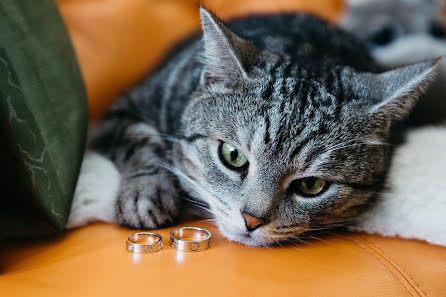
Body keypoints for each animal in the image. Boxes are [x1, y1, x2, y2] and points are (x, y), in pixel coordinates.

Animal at [68, 8, 438, 245]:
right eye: (232, 156)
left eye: (312, 185)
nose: (252, 220)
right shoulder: (119, 111)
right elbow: (143, 142)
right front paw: (146, 194)